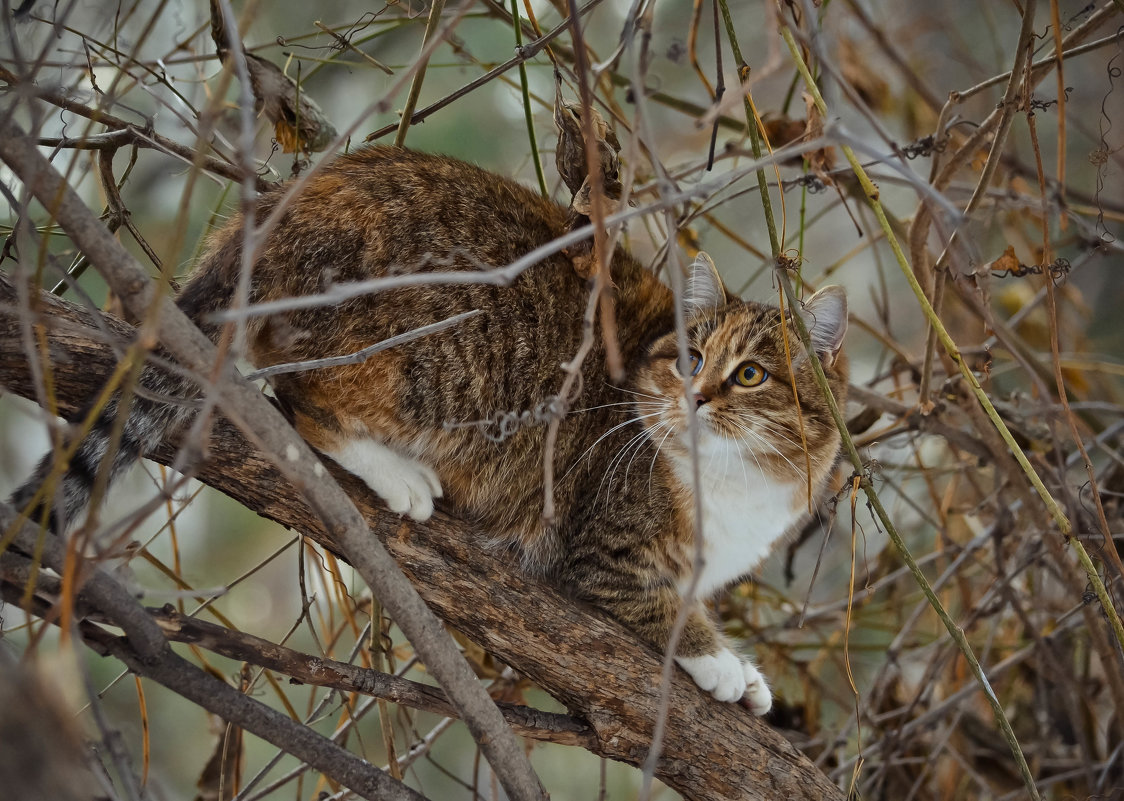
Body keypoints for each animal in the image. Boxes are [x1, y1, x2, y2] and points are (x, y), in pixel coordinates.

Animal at [13, 143, 845, 714]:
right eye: (692, 358)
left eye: (750, 375)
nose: (699, 396)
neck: (737, 486)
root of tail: (289, 201)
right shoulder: (604, 550)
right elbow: (663, 607)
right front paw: (722, 661)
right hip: (428, 356)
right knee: (303, 396)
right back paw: (395, 472)